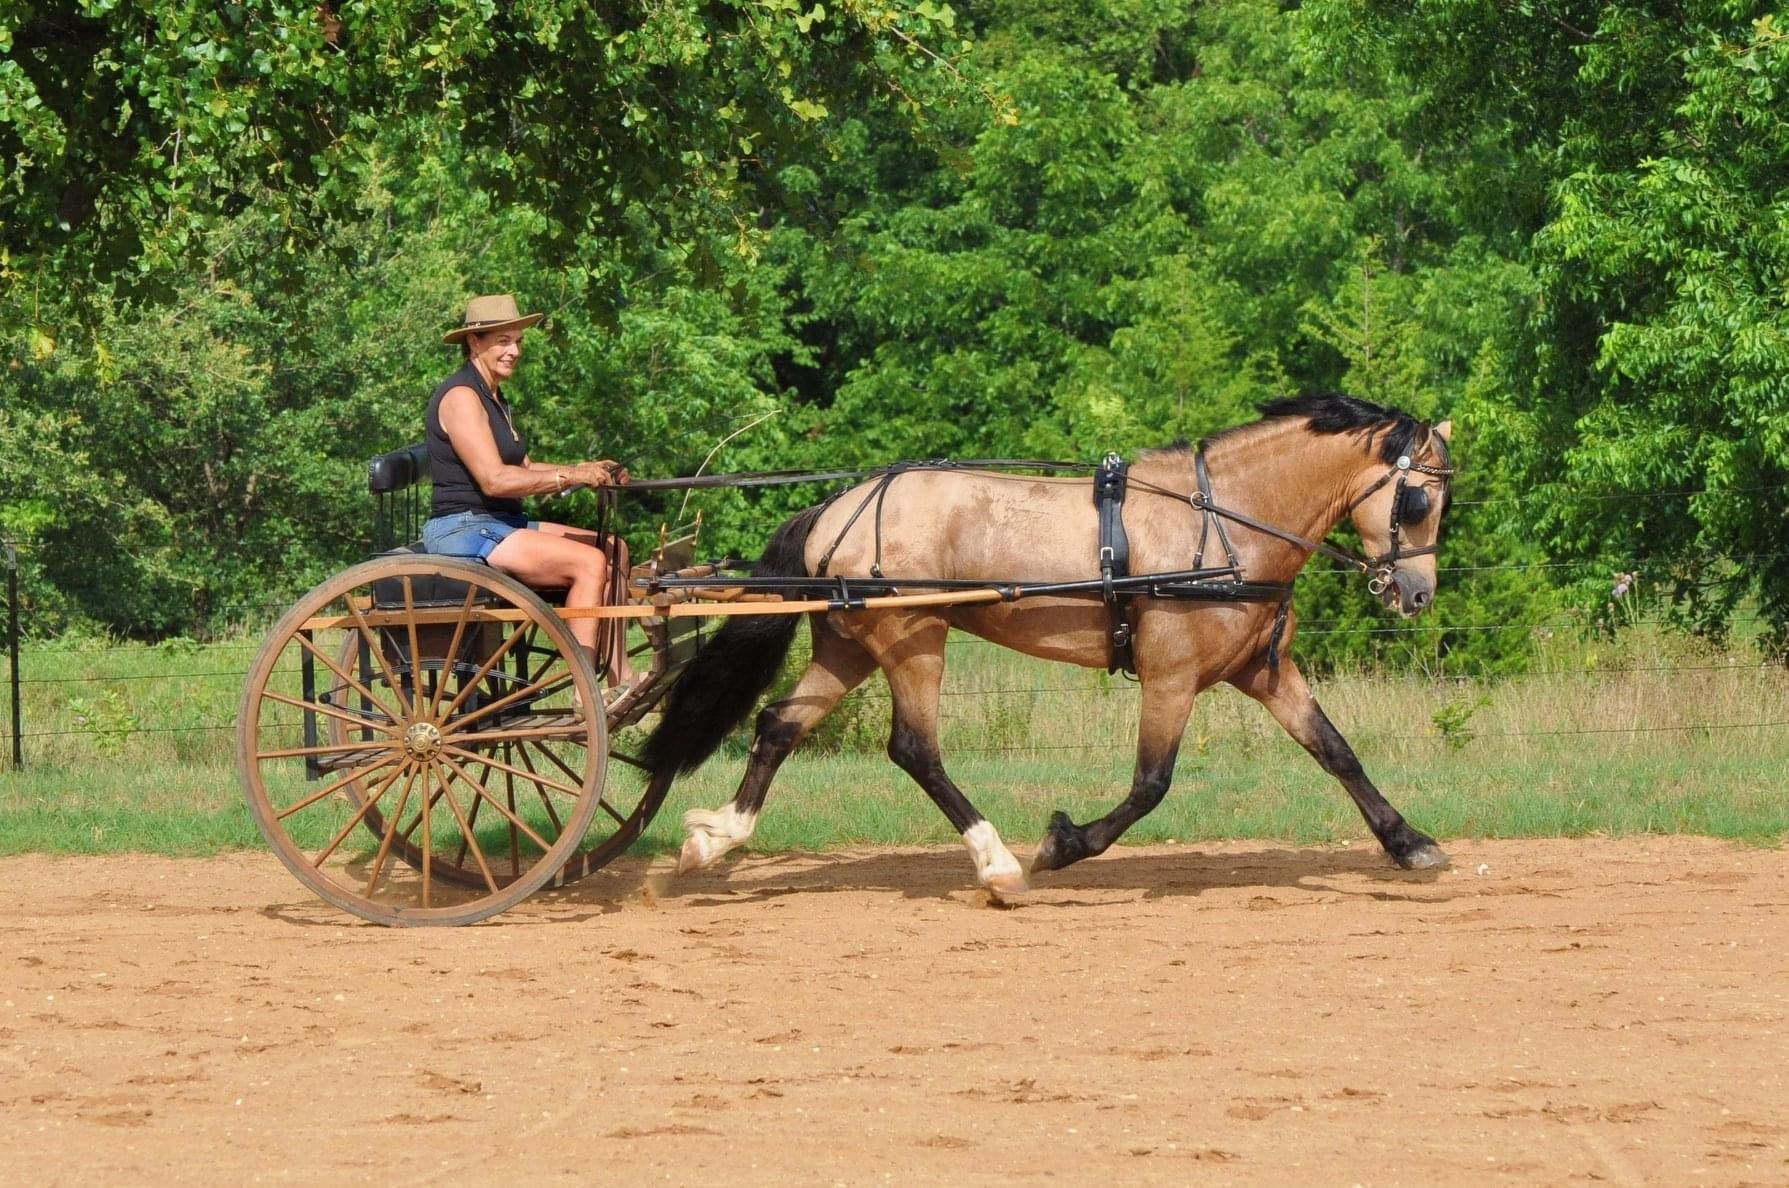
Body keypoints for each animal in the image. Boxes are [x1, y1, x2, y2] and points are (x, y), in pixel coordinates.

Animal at [644, 393, 1452, 894]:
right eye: (1419, 500)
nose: (1416, 594)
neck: (1223, 523)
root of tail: (836, 507)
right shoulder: (1171, 677)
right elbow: (1150, 784)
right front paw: (1065, 843)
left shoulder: (1263, 669)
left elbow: (1336, 751)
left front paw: (1410, 843)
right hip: (912, 640)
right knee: (914, 749)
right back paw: (997, 862)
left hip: (848, 646)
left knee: (779, 725)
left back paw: (714, 839)